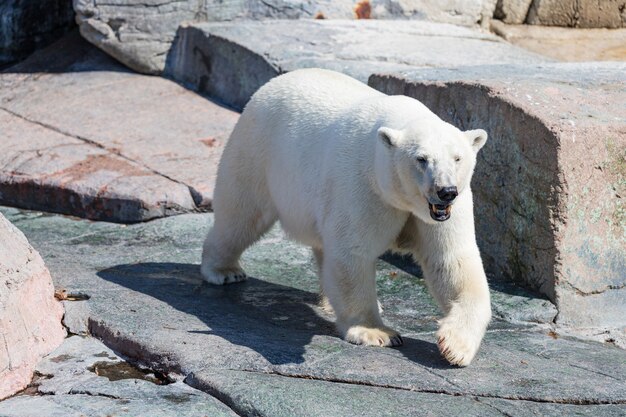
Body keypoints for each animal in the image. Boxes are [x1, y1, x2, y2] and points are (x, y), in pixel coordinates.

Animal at [202, 67, 490, 364]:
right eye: (421, 159)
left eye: (457, 158)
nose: (446, 192)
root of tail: (271, 84)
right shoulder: (364, 186)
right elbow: (353, 252)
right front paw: (376, 332)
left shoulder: (443, 210)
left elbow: (451, 260)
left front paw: (455, 346)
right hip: (257, 150)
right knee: (241, 215)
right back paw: (224, 271)